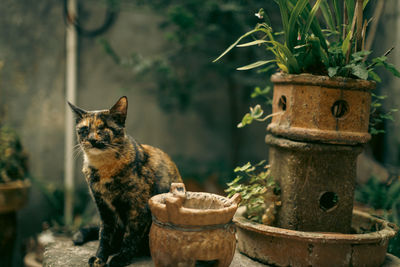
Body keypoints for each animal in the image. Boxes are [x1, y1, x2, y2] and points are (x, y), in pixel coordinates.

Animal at [68, 97, 181, 267]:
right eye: (85, 129)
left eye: (103, 128)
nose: (92, 139)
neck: (104, 167)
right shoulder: (104, 208)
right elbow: (104, 235)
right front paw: (99, 258)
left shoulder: (138, 208)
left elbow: (130, 236)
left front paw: (121, 258)